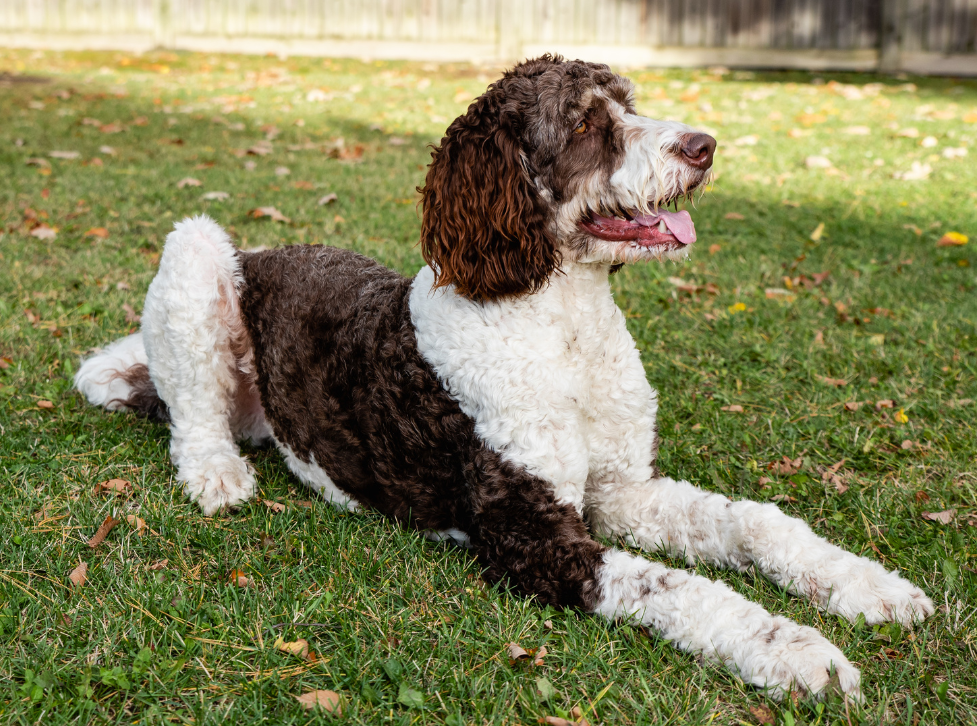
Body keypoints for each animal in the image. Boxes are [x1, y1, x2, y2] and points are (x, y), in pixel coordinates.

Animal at [74, 54, 932, 704]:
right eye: (583, 125)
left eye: (629, 103)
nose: (704, 145)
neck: (563, 326)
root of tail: (262, 253)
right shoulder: (532, 535)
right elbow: (678, 589)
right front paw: (794, 650)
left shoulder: (620, 489)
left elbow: (754, 524)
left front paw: (867, 586)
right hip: (195, 251)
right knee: (192, 412)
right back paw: (215, 475)